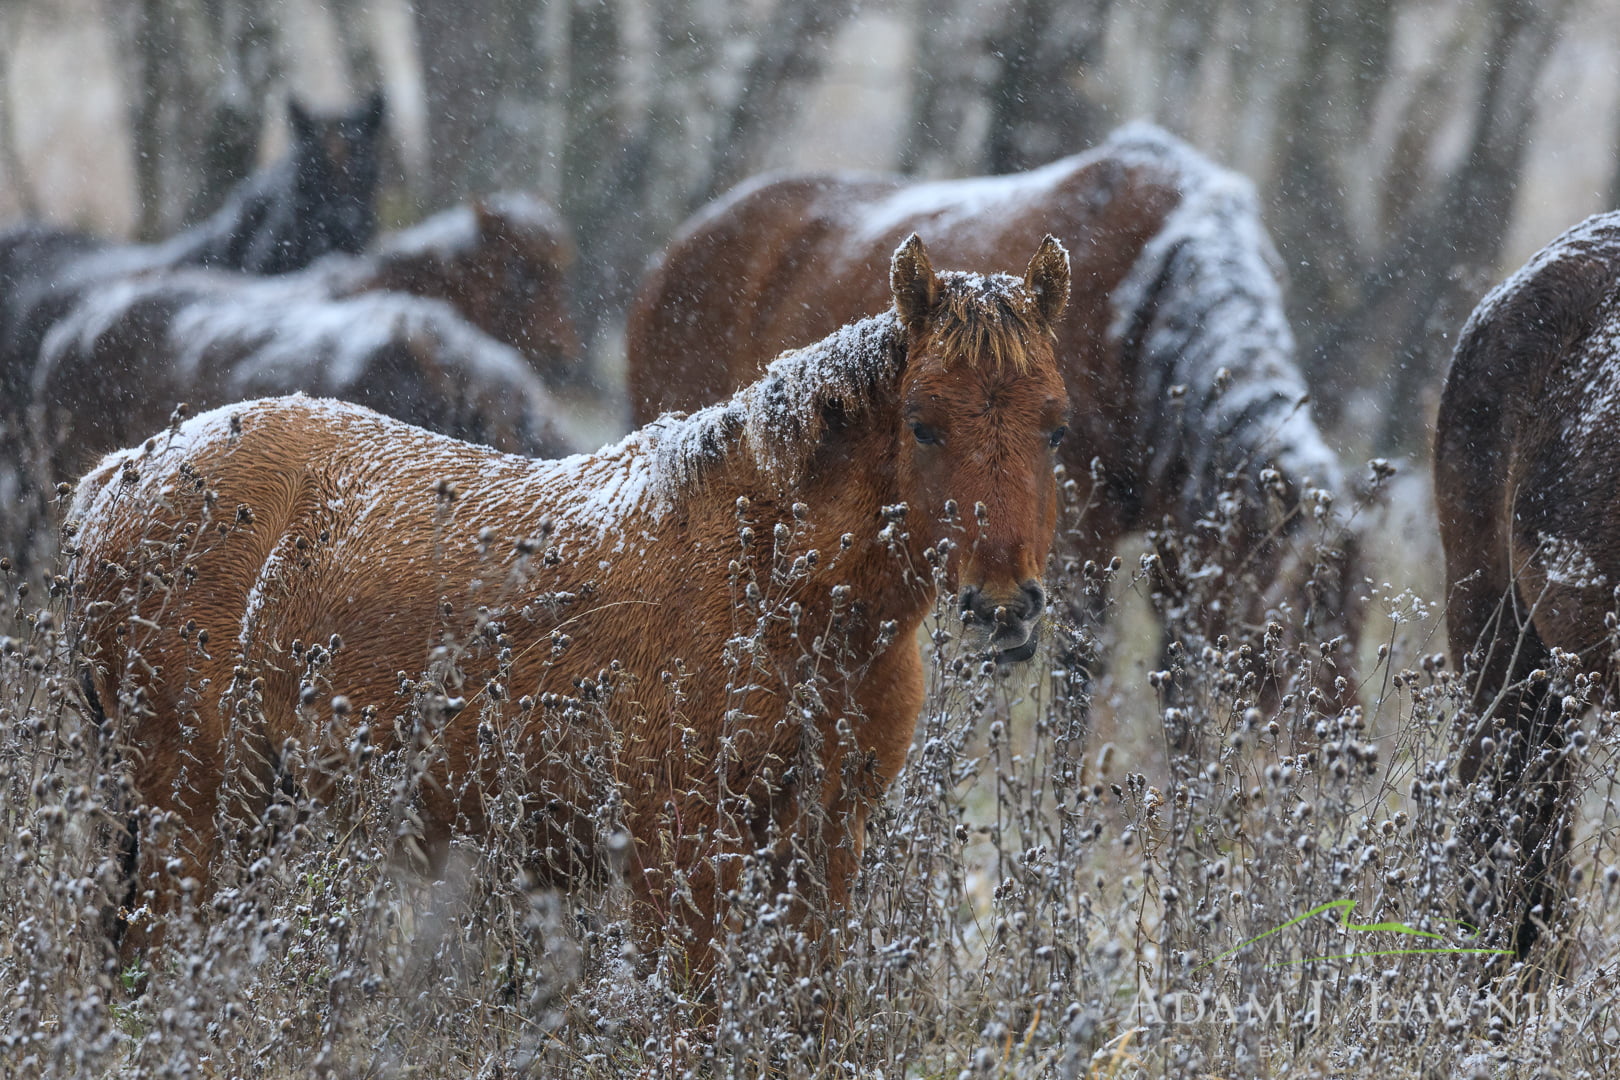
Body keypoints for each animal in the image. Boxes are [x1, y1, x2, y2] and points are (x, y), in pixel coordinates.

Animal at [66, 236, 1075, 977]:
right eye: (923, 423)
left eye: (1054, 425)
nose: (1005, 606)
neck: (776, 580)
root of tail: (113, 479)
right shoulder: (682, 852)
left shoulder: (822, 846)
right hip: (194, 815)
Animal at [625, 122, 1360, 718]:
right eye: (1289, 624)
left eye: (1354, 618)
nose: (1338, 753)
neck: (1147, 303)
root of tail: (672, 256)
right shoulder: (1082, 538)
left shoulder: (1182, 543)